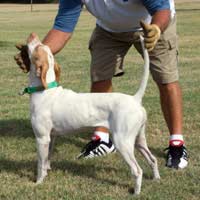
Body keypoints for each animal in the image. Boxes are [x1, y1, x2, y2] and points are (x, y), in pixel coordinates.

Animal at [16, 33, 159, 195]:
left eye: (38, 47)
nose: (32, 35)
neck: (45, 91)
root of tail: (135, 98)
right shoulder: (51, 137)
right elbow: (46, 161)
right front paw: (46, 174)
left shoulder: (42, 138)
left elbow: (40, 164)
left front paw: (38, 183)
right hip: (138, 140)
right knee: (153, 159)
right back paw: (156, 178)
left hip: (122, 142)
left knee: (137, 170)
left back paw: (136, 192)